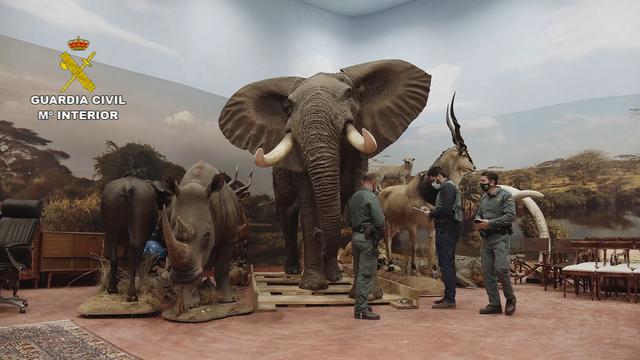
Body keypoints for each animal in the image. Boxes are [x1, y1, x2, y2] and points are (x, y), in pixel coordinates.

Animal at [160, 160, 245, 304]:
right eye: (173, 234)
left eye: (207, 236)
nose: (182, 277)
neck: (196, 183)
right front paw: (191, 303)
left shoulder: (230, 238)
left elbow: (222, 267)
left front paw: (228, 299)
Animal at [218, 59, 432, 290]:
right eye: (288, 107)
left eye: (349, 93)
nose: (318, 234)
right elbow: (309, 205)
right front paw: (313, 285)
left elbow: (351, 196)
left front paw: (346, 282)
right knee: (287, 215)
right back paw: (293, 271)